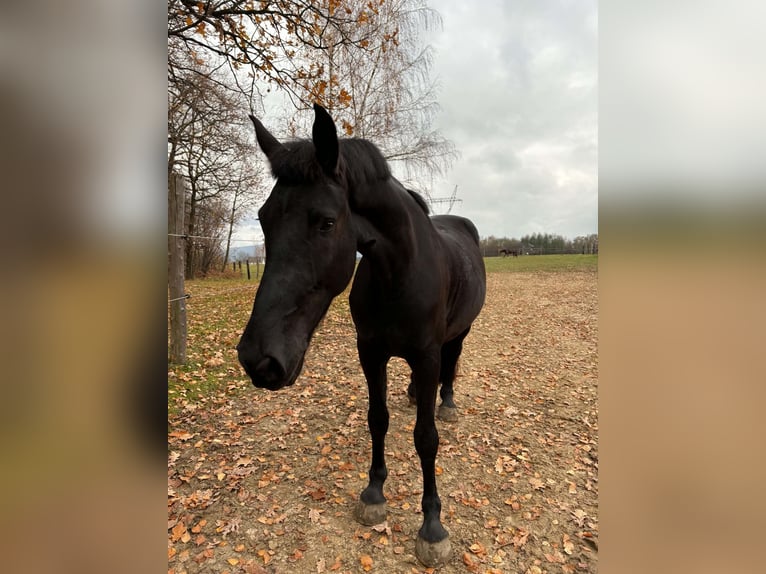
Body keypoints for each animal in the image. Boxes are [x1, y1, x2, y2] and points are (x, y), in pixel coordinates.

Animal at [236, 104, 486, 567]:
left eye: (326, 222)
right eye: (263, 218)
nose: (258, 359)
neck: (400, 274)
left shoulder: (426, 355)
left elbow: (426, 438)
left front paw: (432, 526)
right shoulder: (370, 353)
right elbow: (378, 419)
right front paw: (374, 494)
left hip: (459, 334)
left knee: (451, 364)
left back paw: (446, 402)